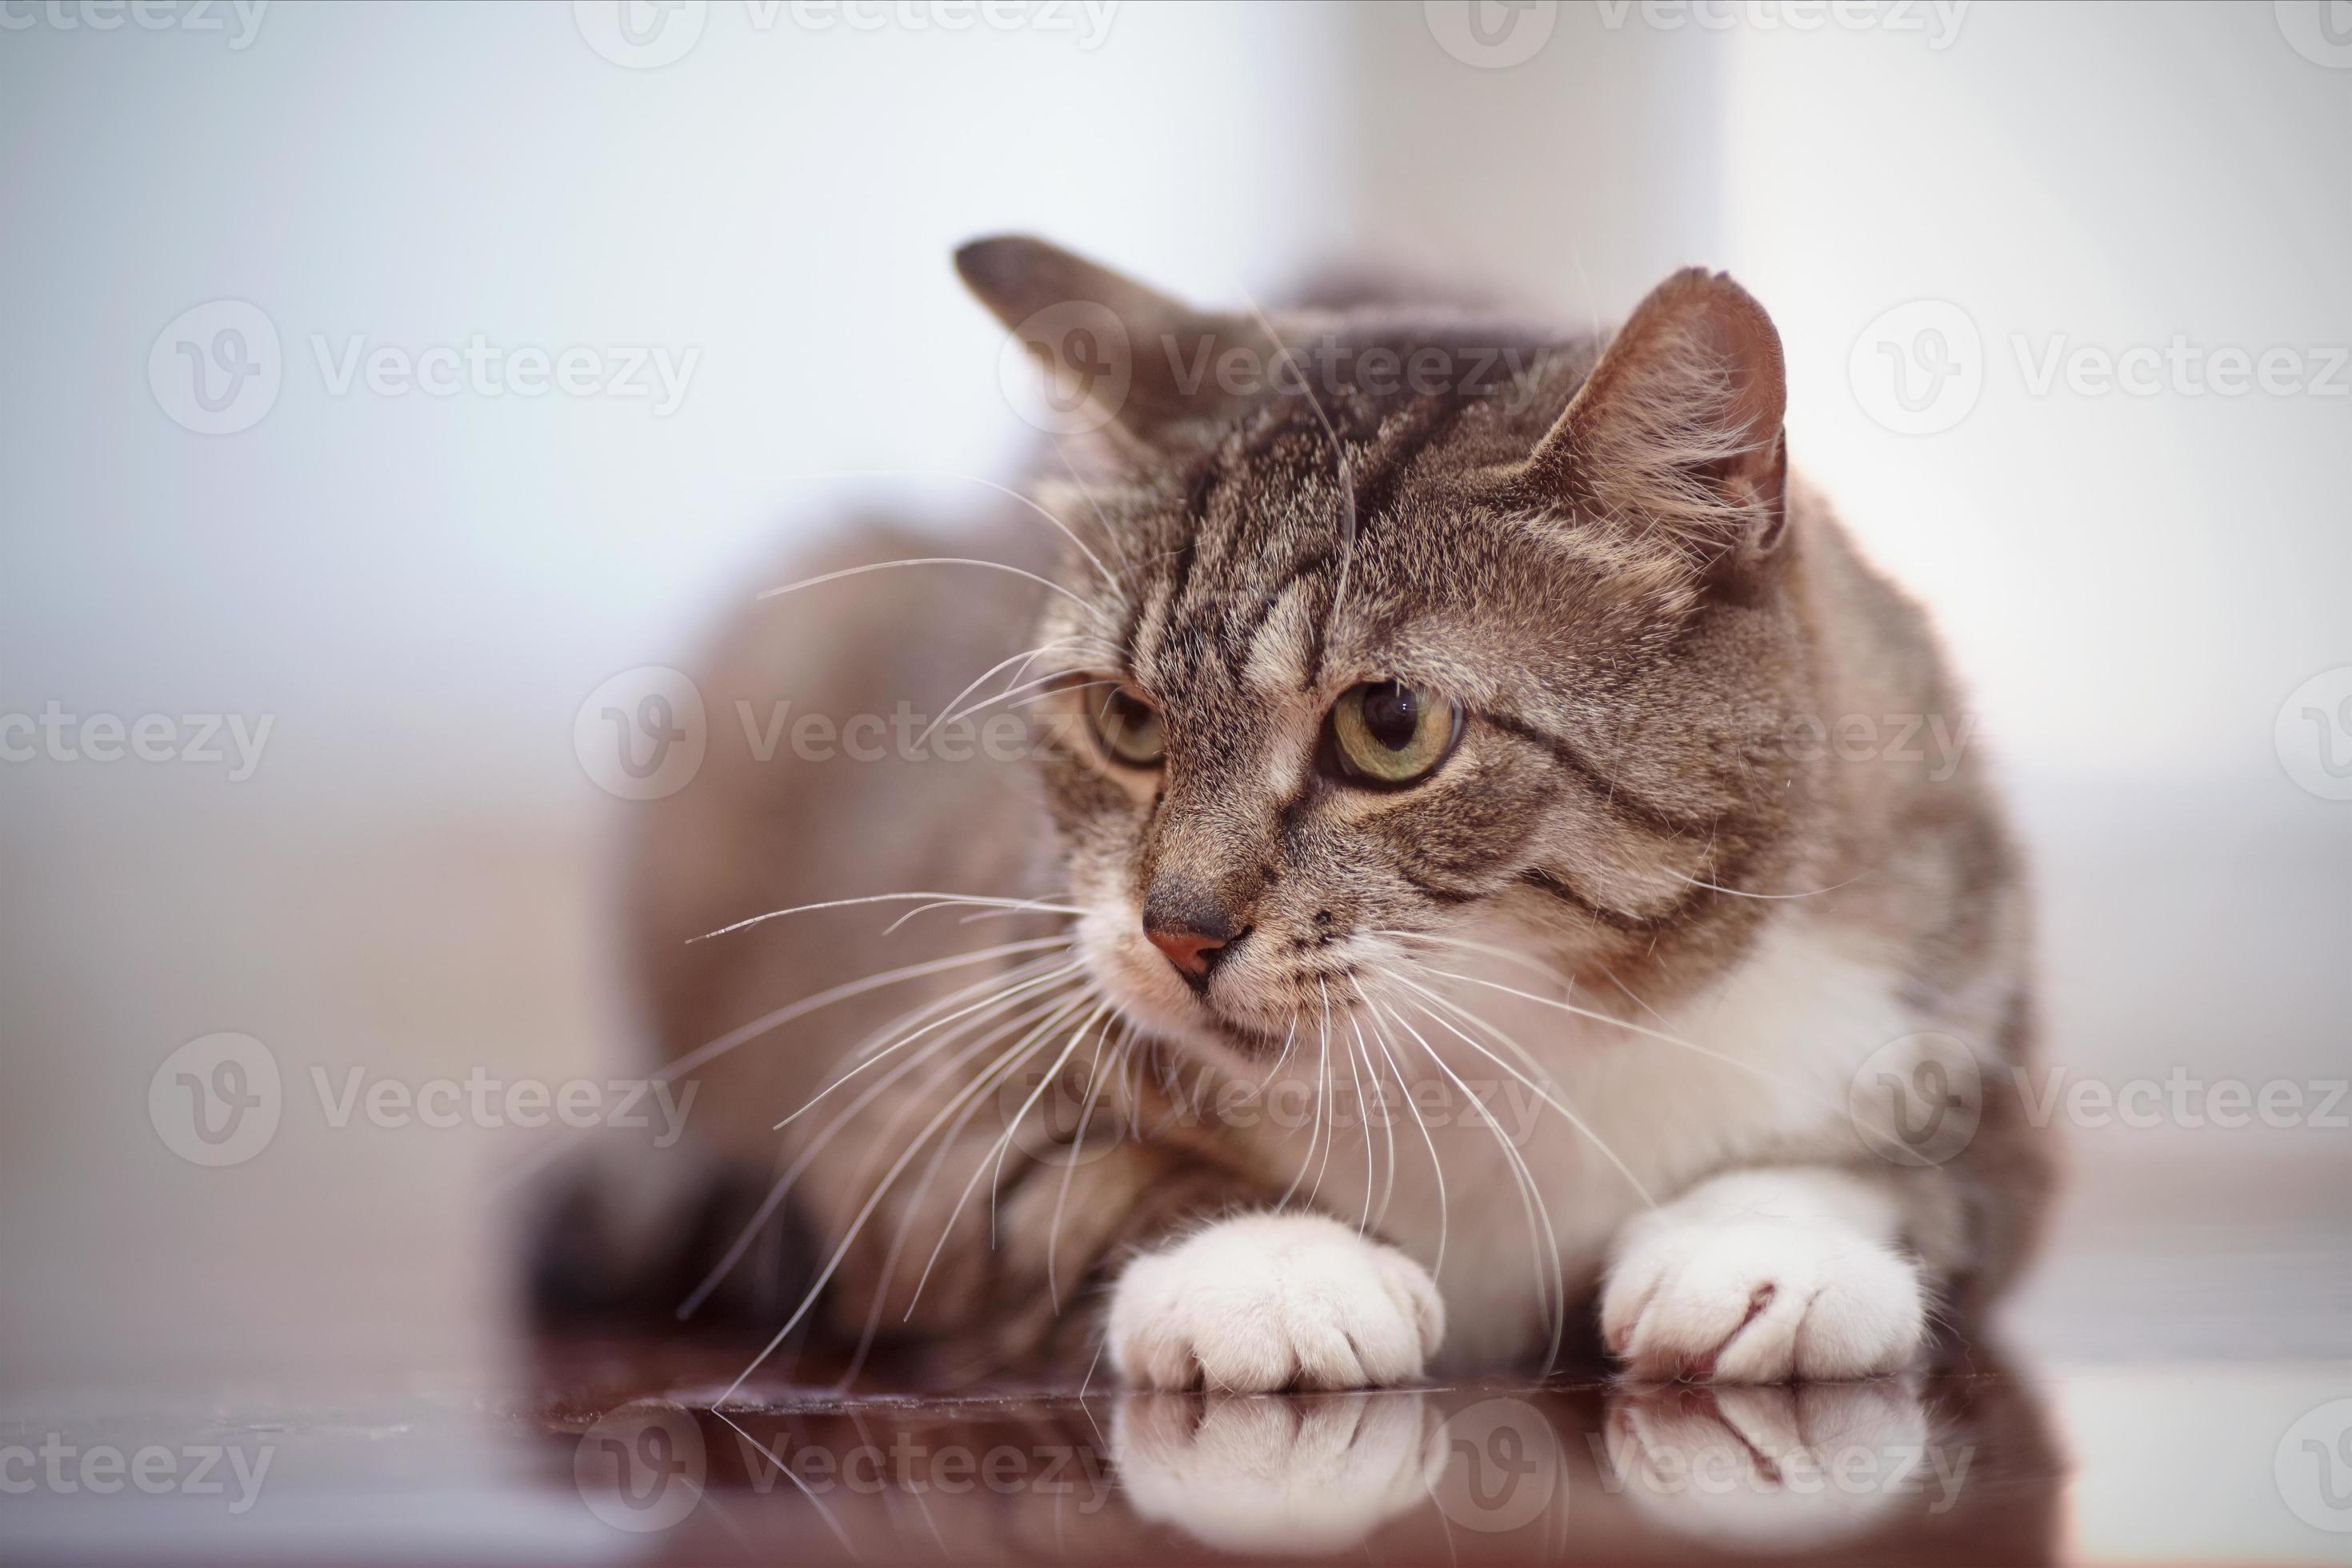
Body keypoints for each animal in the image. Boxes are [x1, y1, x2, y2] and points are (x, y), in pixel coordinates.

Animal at [538, 232, 2060, 1382]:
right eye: (1126, 721)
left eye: (1389, 729)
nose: (1179, 930)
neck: (1507, 1060)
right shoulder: (907, 1114)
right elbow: (1097, 1183)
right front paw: (1272, 1269)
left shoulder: (1977, 1065)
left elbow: (1899, 1180)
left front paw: (1761, 1253)